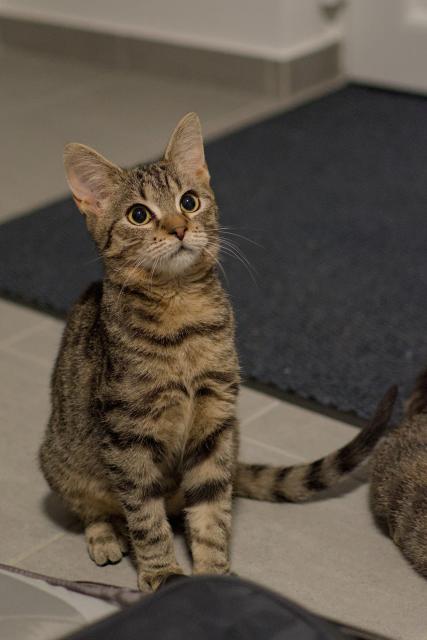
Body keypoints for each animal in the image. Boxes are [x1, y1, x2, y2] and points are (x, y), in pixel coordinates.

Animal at [39, 112, 398, 592]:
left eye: (189, 201)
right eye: (139, 214)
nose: (179, 228)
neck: (183, 320)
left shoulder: (215, 426)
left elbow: (211, 512)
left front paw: (213, 573)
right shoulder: (127, 436)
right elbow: (145, 515)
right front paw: (163, 572)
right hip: (62, 461)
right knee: (94, 509)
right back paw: (106, 537)